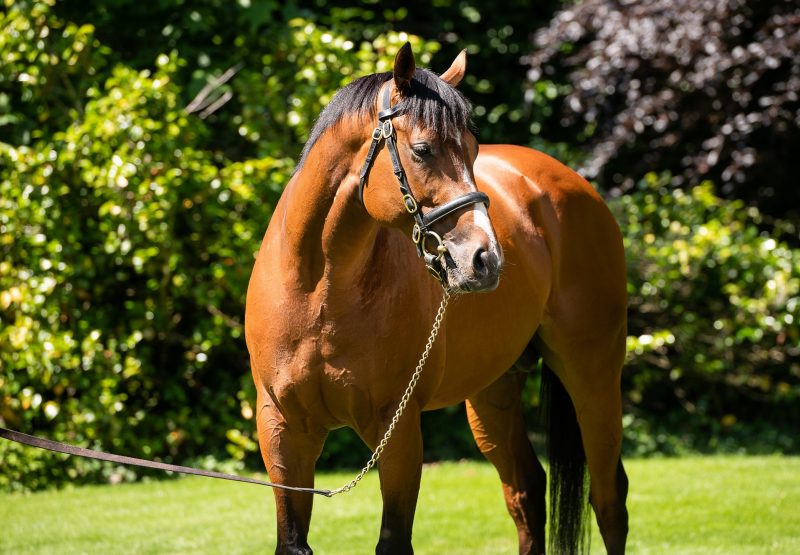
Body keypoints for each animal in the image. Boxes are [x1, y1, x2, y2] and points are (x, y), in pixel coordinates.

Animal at [247, 44, 628, 555]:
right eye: (423, 150)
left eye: (473, 150)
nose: (485, 259)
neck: (318, 291)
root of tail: (572, 184)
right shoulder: (282, 432)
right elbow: (292, 540)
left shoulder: (399, 431)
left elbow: (393, 541)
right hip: (493, 394)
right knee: (527, 491)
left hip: (593, 380)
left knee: (609, 500)